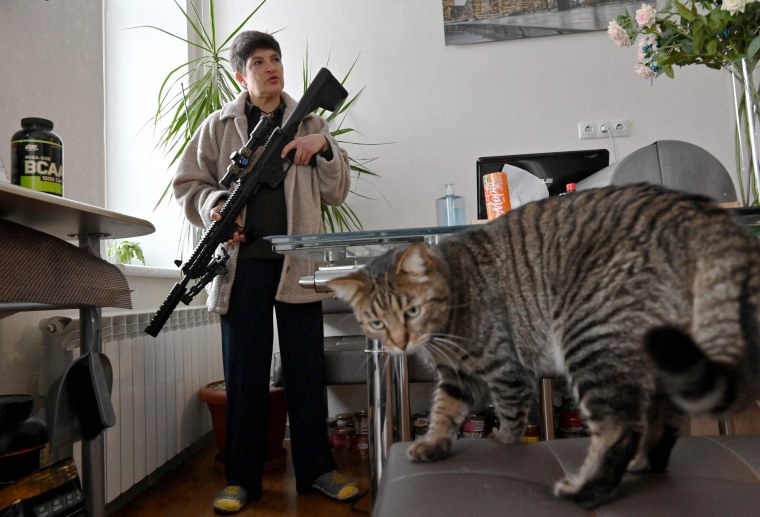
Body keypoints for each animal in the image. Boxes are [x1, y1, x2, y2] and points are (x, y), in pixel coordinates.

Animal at [330, 183, 760, 506]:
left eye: (413, 311)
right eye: (376, 323)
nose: (400, 343)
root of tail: (690, 209)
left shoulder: (506, 369)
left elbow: (510, 415)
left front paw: (504, 441)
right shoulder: (456, 375)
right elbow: (444, 411)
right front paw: (433, 442)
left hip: (590, 334)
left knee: (620, 426)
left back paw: (585, 489)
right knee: (664, 421)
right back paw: (644, 464)